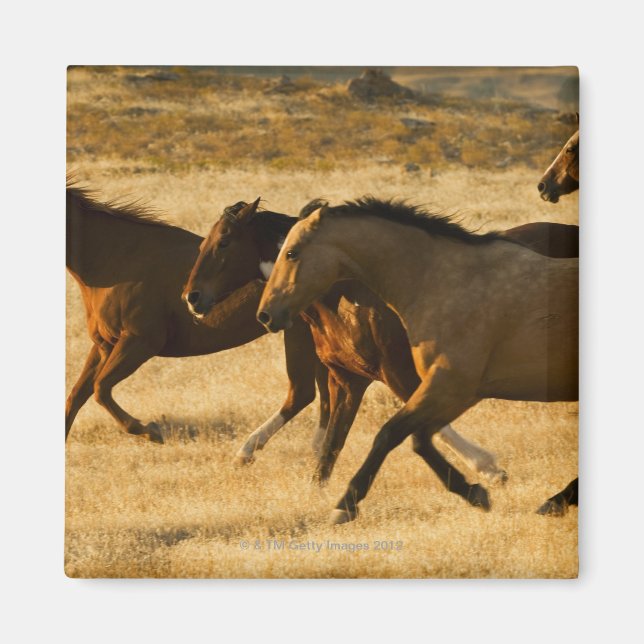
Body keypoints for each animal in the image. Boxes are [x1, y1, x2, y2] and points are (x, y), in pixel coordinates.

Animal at [65, 184, 330, 444]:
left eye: (223, 242)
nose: (191, 298)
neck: (118, 260)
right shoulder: (104, 345)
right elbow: (75, 398)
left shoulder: (140, 342)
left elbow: (101, 389)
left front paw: (151, 431)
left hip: (301, 334)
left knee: (303, 393)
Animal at [186, 198, 578, 513]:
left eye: (224, 242)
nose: (192, 297)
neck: (347, 296)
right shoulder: (348, 380)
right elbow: (331, 446)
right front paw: (323, 495)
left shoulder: (402, 374)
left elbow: (417, 430)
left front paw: (488, 470)